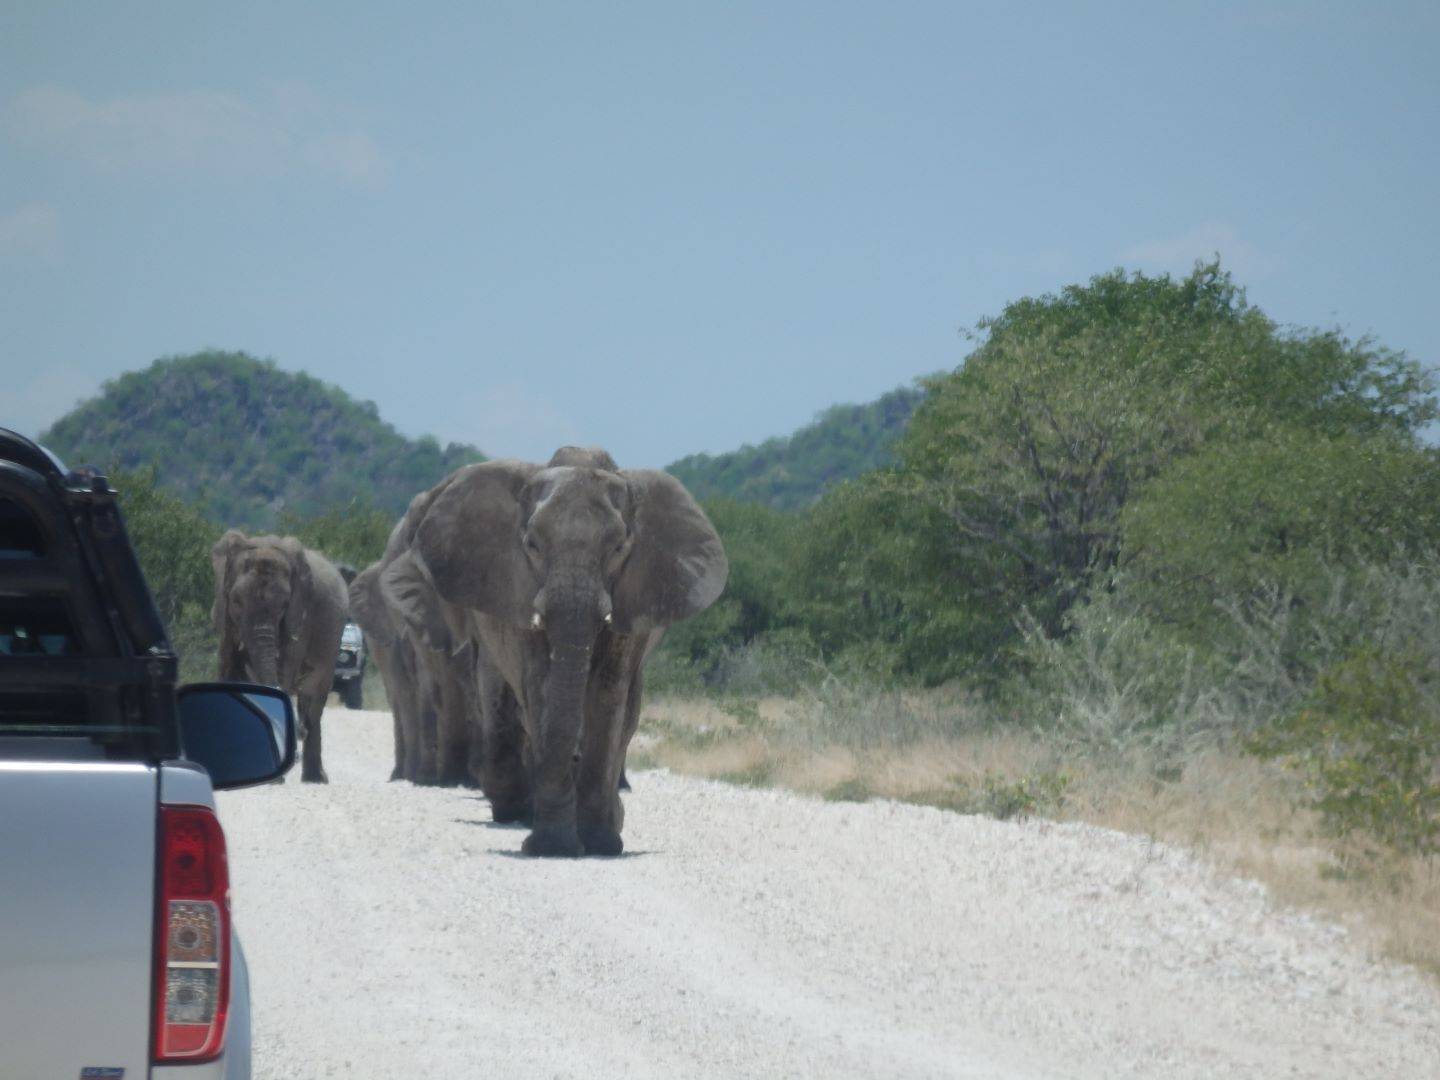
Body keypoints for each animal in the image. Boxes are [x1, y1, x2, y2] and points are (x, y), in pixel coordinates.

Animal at [211, 535, 349, 783]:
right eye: (236, 601)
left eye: (284, 605)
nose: (300, 730)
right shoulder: (224, 617)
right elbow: (226, 667)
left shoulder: (300, 616)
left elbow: (284, 670)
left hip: (333, 641)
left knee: (314, 699)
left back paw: (315, 778)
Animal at [403, 452, 725, 858]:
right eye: (532, 544)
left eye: (618, 548)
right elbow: (542, 688)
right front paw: (552, 846)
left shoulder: (632, 599)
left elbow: (608, 693)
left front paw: (600, 844)